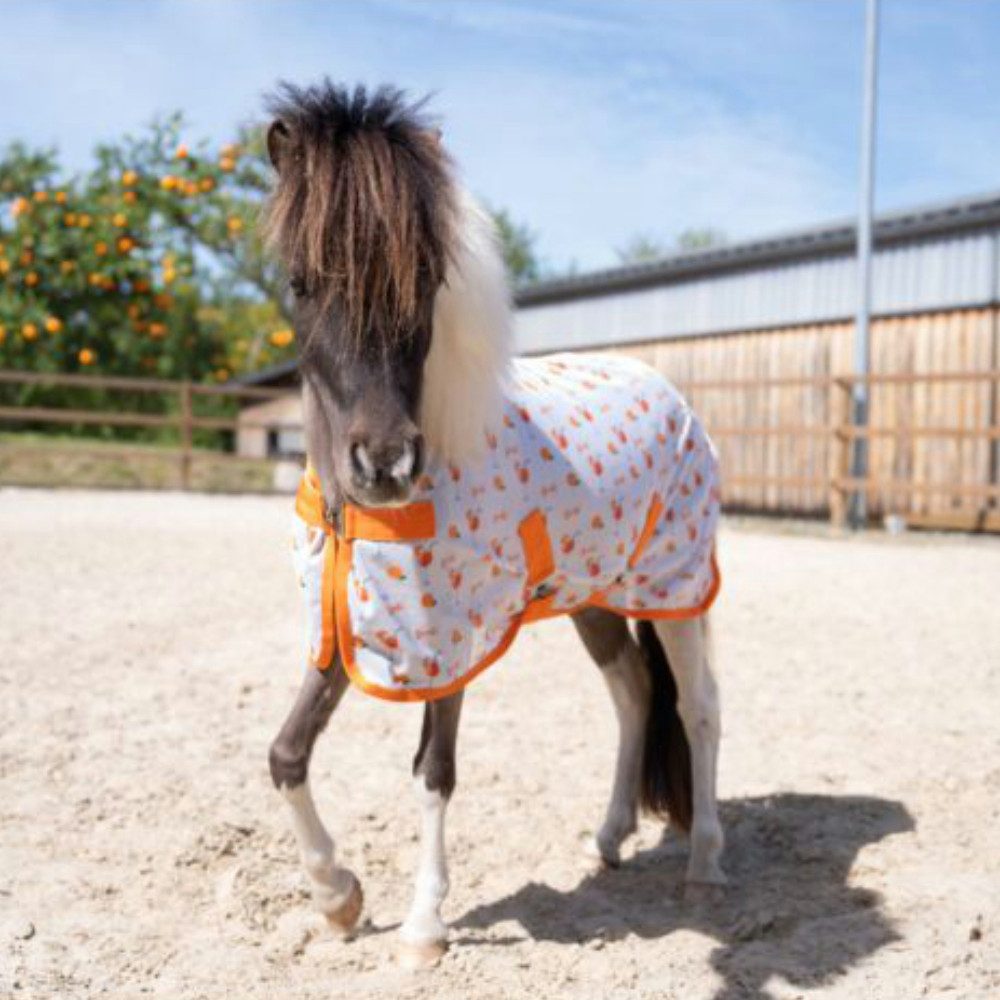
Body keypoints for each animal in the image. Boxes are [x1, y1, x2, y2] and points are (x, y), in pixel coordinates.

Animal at [263, 81, 725, 968]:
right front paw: (338, 899)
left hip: (675, 590)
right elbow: (287, 754)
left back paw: (704, 868)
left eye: (425, 282)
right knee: (632, 691)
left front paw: (422, 928)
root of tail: (662, 382)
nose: (385, 463)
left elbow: (433, 771)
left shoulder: (449, 643)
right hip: (594, 596)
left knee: (697, 707)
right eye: (301, 282)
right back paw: (608, 839)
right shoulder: (347, 625)